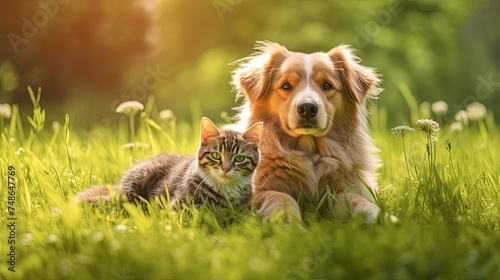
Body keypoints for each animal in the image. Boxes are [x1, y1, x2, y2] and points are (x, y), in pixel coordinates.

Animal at [75, 117, 262, 209]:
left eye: (239, 158)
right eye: (216, 155)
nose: (225, 168)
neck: (225, 189)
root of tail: (119, 187)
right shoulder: (179, 205)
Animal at [231, 41, 382, 223]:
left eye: (327, 85)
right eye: (286, 85)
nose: (308, 108)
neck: (309, 151)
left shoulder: (341, 190)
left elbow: (353, 199)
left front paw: (376, 215)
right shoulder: (261, 189)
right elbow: (281, 198)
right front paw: (287, 220)